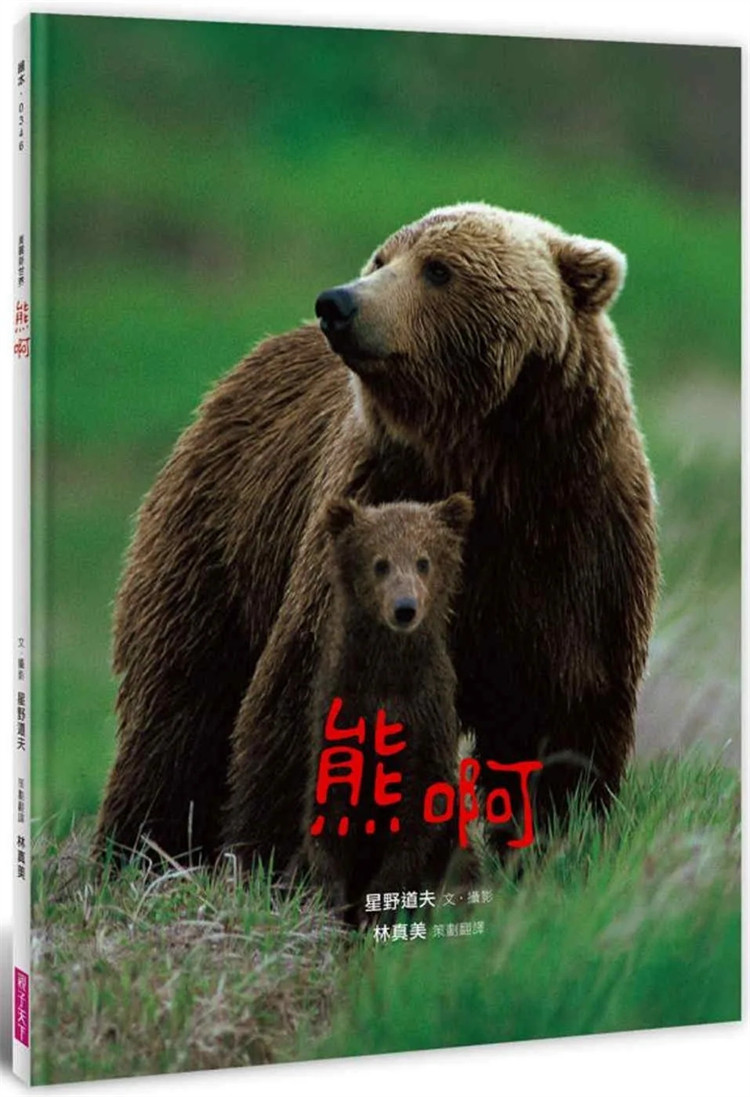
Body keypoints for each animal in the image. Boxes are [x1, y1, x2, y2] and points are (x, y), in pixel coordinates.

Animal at [95, 202, 659, 872]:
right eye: (382, 258)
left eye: (439, 269)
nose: (337, 303)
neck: (483, 457)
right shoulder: (371, 502)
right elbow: (311, 686)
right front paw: (279, 857)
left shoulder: (576, 537)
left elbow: (565, 705)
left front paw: (555, 842)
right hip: (216, 538)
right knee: (182, 702)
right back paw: (138, 850)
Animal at [302, 493, 473, 925]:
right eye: (379, 562)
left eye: (423, 560)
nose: (404, 608)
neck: (388, 674)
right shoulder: (344, 706)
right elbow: (330, 806)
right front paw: (331, 895)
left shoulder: (426, 717)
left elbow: (419, 815)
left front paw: (376, 905)